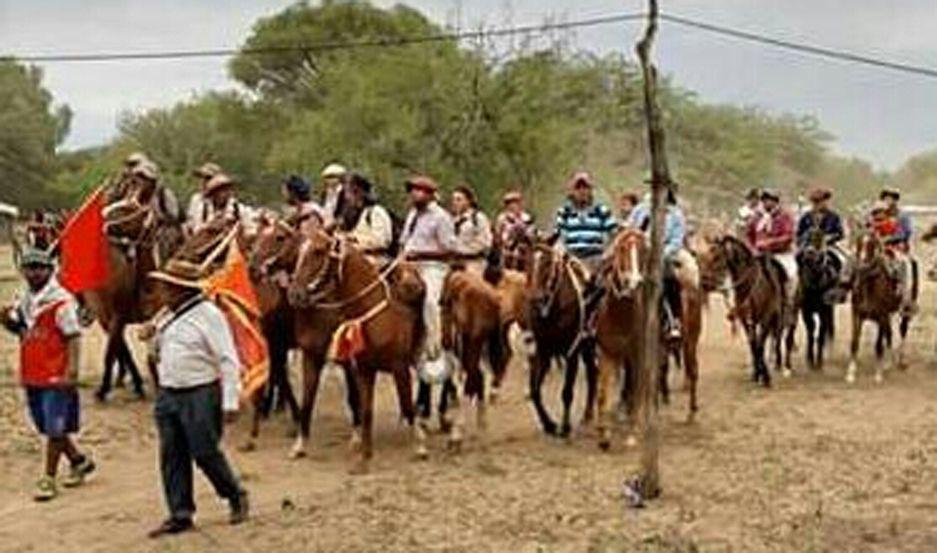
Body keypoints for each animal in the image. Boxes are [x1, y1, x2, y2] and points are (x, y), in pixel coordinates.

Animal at [288, 229, 428, 470]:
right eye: (299, 250)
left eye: (318, 251)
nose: (295, 294)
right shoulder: (361, 368)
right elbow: (365, 409)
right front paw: (365, 454)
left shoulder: (399, 367)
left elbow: (406, 404)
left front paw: (419, 446)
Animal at [524, 239, 596, 438]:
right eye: (527, 262)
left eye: (549, 263)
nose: (536, 298)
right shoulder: (543, 351)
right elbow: (534, 390)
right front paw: (549, 424)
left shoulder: (571, 352)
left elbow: (567, 392)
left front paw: (565, 427)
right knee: (592, 372)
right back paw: (587, 415)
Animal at [844, 231, 912, 382]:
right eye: (858, 241)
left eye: (871, 244)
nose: (861, 265)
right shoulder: (856, 314)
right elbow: (854, 342)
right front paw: (851, 373)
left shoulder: (882, 316)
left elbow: (879, 345)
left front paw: (878, 374)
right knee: (890, 334)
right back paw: (888, 363)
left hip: (904, 310)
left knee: (902, 330)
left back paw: (902, 360)